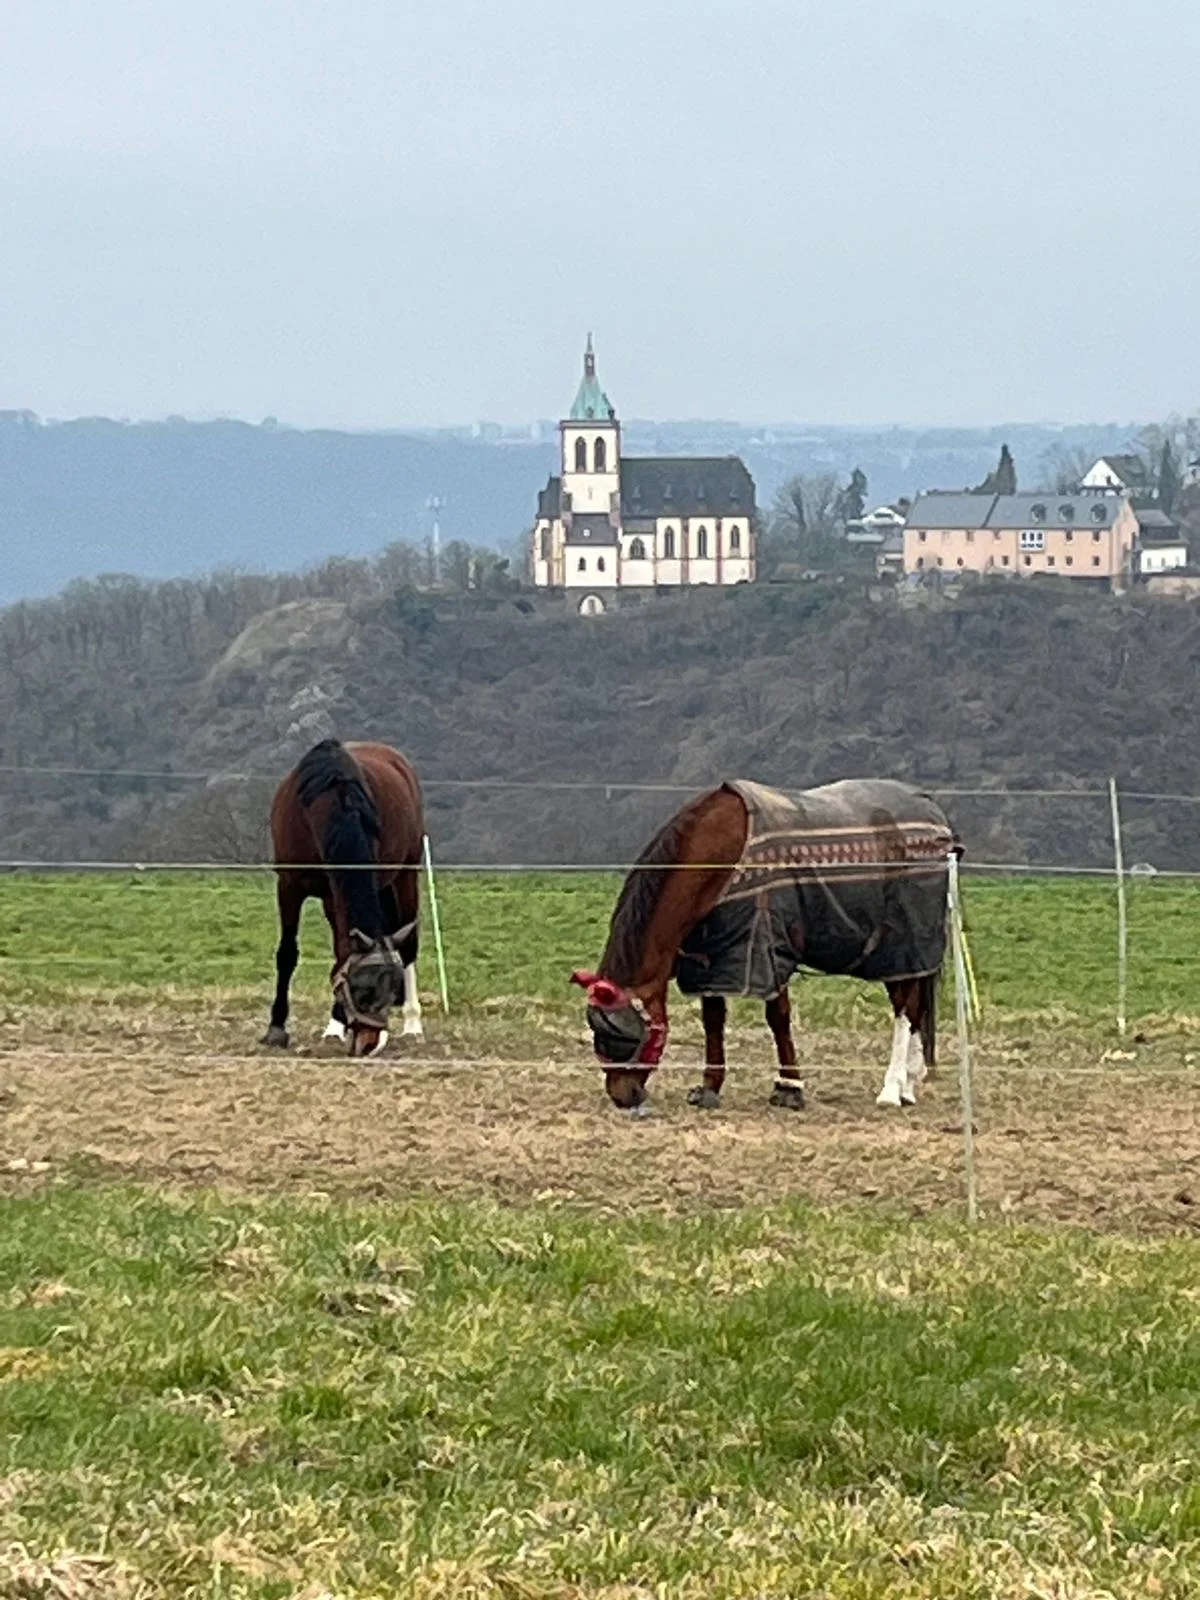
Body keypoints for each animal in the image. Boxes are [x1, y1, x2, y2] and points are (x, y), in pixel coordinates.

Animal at [261, 738, 425, 1058]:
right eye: (363, 990)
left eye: (392, 991)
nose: (371, 1044)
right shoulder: (289, 886)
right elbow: (288, 954)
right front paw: (277, 1028)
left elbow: (342, 954)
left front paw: (335, 1024)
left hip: (406, 875)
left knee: (410, 945)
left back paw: (413, 1024)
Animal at [571, 778, 958, 1112]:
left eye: (621, 1035)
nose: (622, 1095)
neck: (723, 855)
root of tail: (937, 820)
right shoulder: (715, 955)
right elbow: (713, 1019)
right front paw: (710, 1087)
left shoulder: (768, 947)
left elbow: (778, 1017)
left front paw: (789, 1087)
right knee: (916, 1008)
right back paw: (909, 1084)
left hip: (903, 947)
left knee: (905, 1009)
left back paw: (892, 1088)